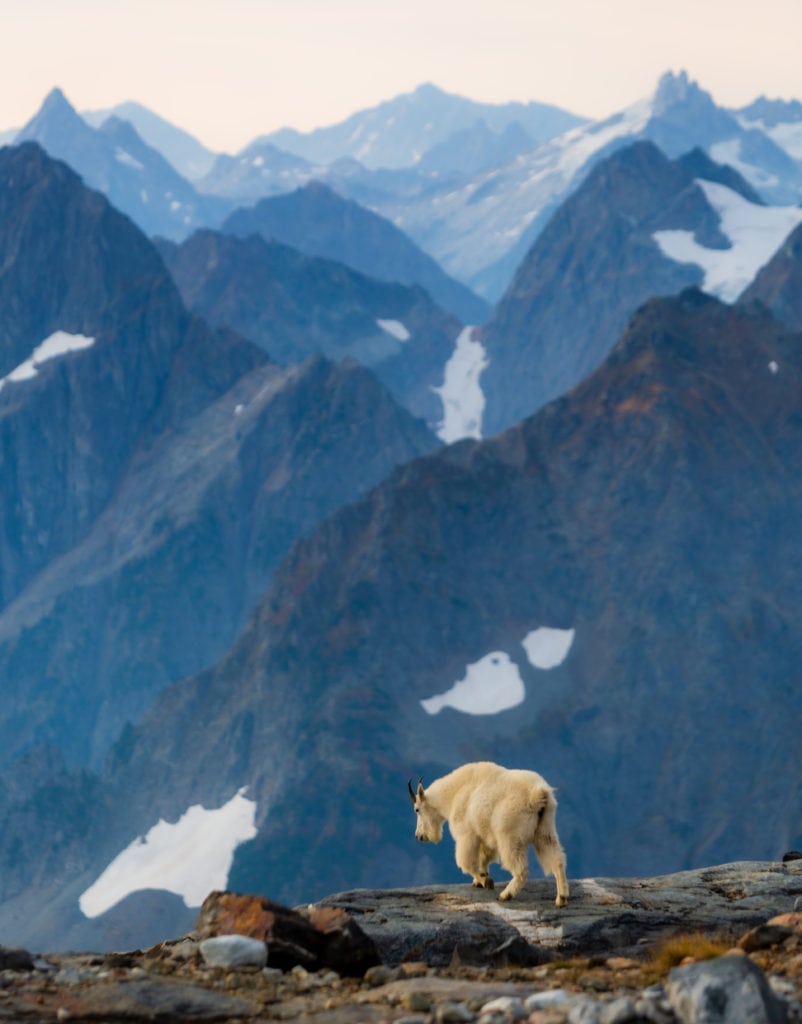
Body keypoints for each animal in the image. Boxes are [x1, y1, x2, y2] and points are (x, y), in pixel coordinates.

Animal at [407, 761, 569, 905]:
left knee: (520, 868)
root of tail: (537, 795)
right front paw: (480, 879)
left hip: (509, 835)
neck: (454, 793)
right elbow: (485, 856)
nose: (419, 836)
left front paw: (485, 881)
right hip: (545, 827)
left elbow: (466, 861)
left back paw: (506, 894)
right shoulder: (484, 833)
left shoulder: (466, 833)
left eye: (417, 809)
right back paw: (561, 898)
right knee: (556, 857)